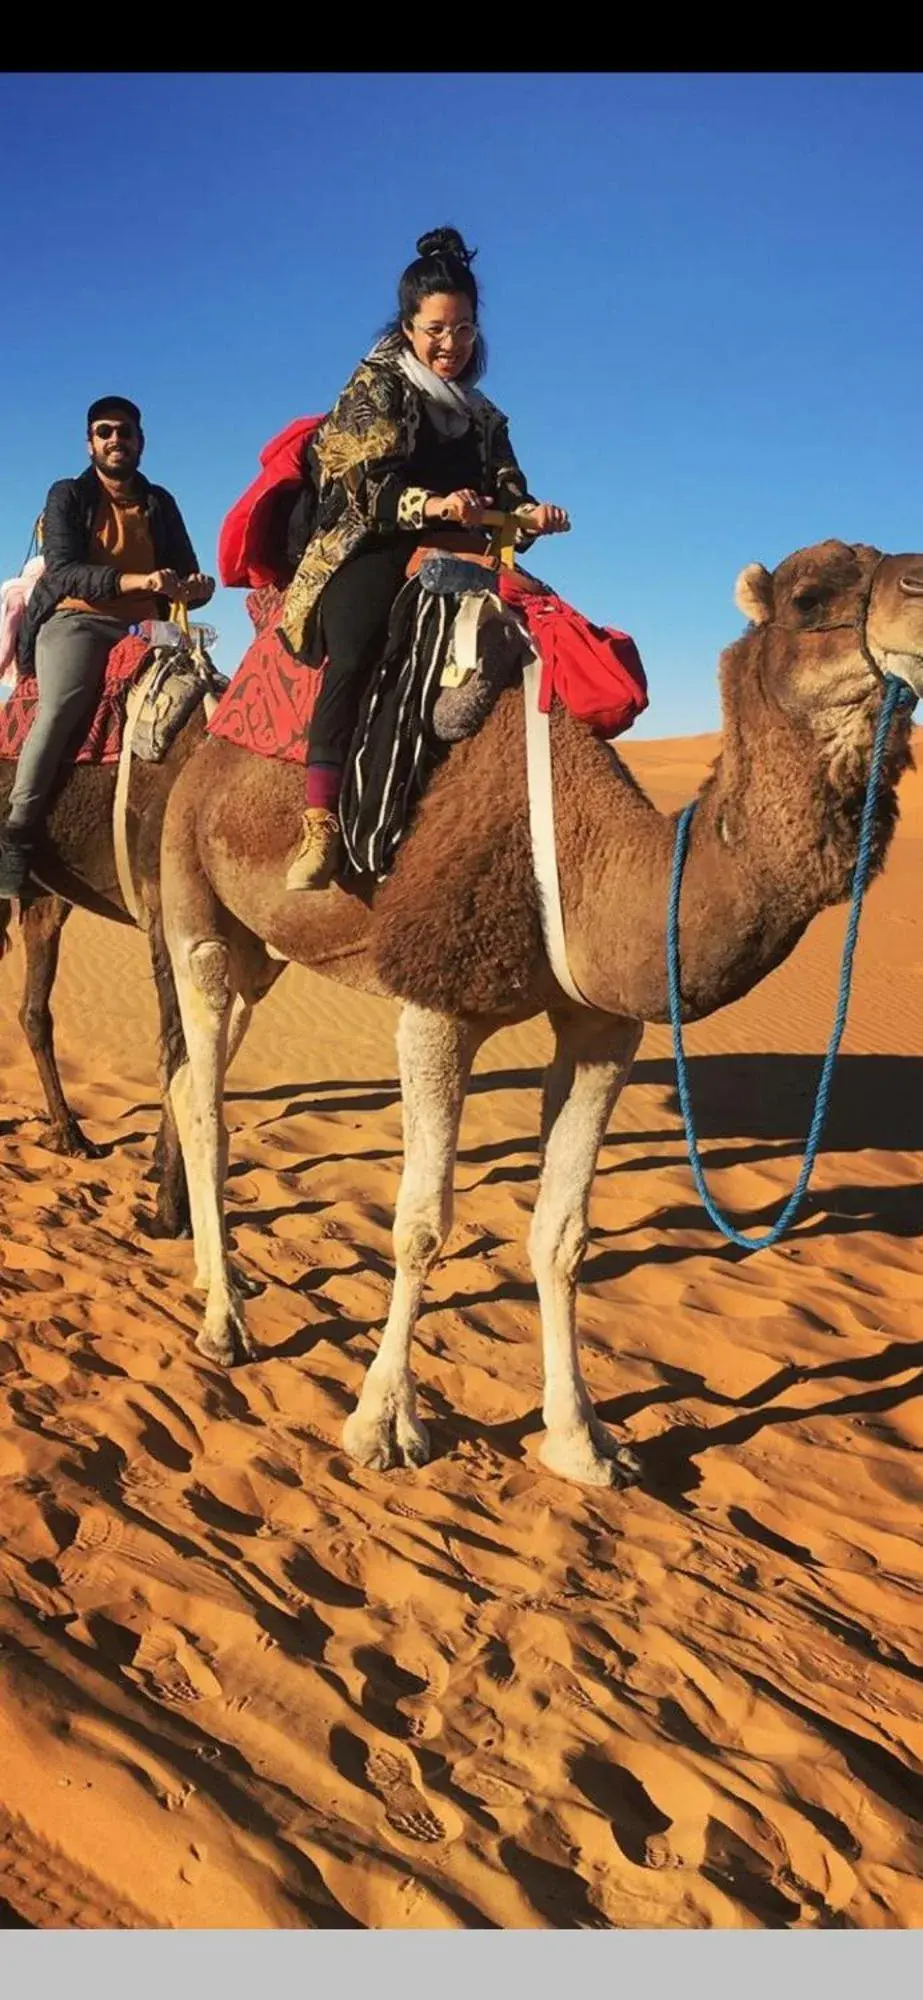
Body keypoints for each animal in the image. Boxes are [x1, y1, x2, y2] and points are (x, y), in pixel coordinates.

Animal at [158, 538, 923, 1487]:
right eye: (809, 598)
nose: (919, 593)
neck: (586, 861)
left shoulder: (603, 1028)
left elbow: (562, 1235)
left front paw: (581, 1441)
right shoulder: (437, 1002)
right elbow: (420, 1226)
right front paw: (382, 1425)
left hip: (261, 952)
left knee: (192, 1074)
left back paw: (207, 1278)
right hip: (192, 897)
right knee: (206, 1100)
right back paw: (223, 1324)